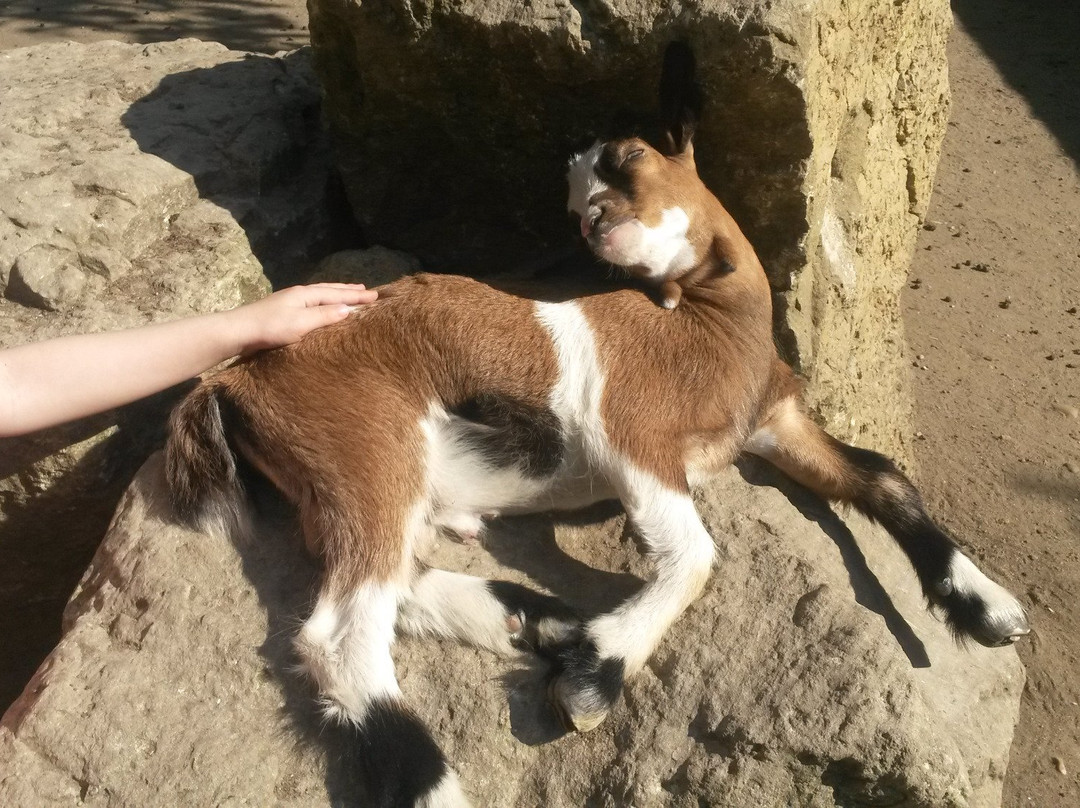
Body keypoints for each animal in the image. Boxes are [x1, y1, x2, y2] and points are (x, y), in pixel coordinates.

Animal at [166, 128, 1028, 808]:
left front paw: (988, 607)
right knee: (342, 632)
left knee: (393, 586)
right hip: (371, 452)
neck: (708, 325)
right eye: (576, 204)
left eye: (629, 158)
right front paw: (598, 673)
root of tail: (233, 377)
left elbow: (883, 475)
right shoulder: (632, 435)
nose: (597, 222)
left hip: (369, 481)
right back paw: (457, 756)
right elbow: (697, 555)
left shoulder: (776, 425)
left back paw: (536, 619)